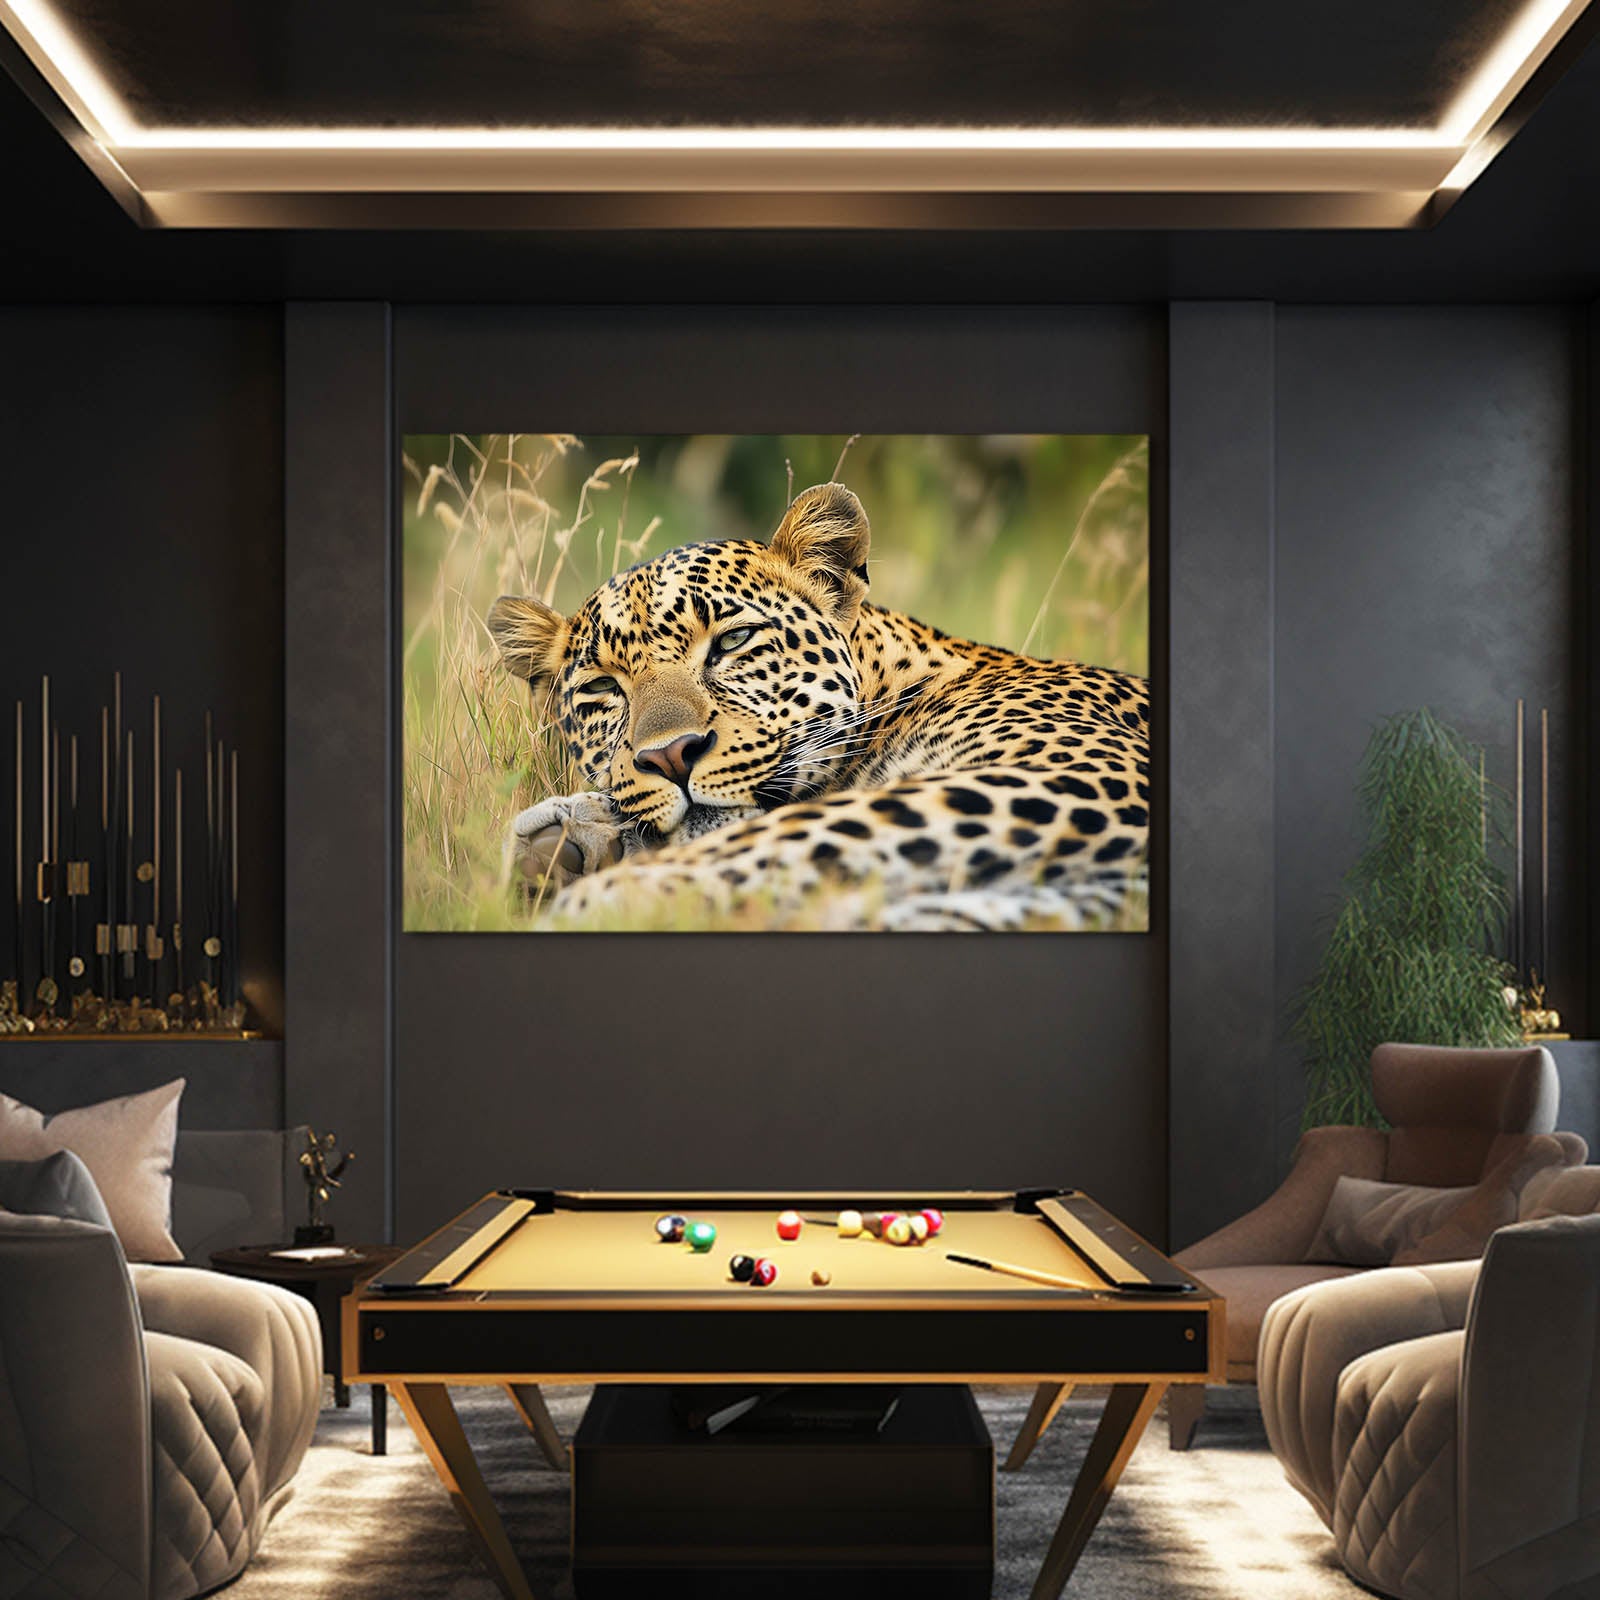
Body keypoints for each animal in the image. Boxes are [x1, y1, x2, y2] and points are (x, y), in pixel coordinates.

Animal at [487, 481, 1148, 932]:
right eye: (603, 689)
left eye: (732, 641)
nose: (672, 757)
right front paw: (580, 841)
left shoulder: (1071, 777)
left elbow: (793, 833)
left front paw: (594, 894)